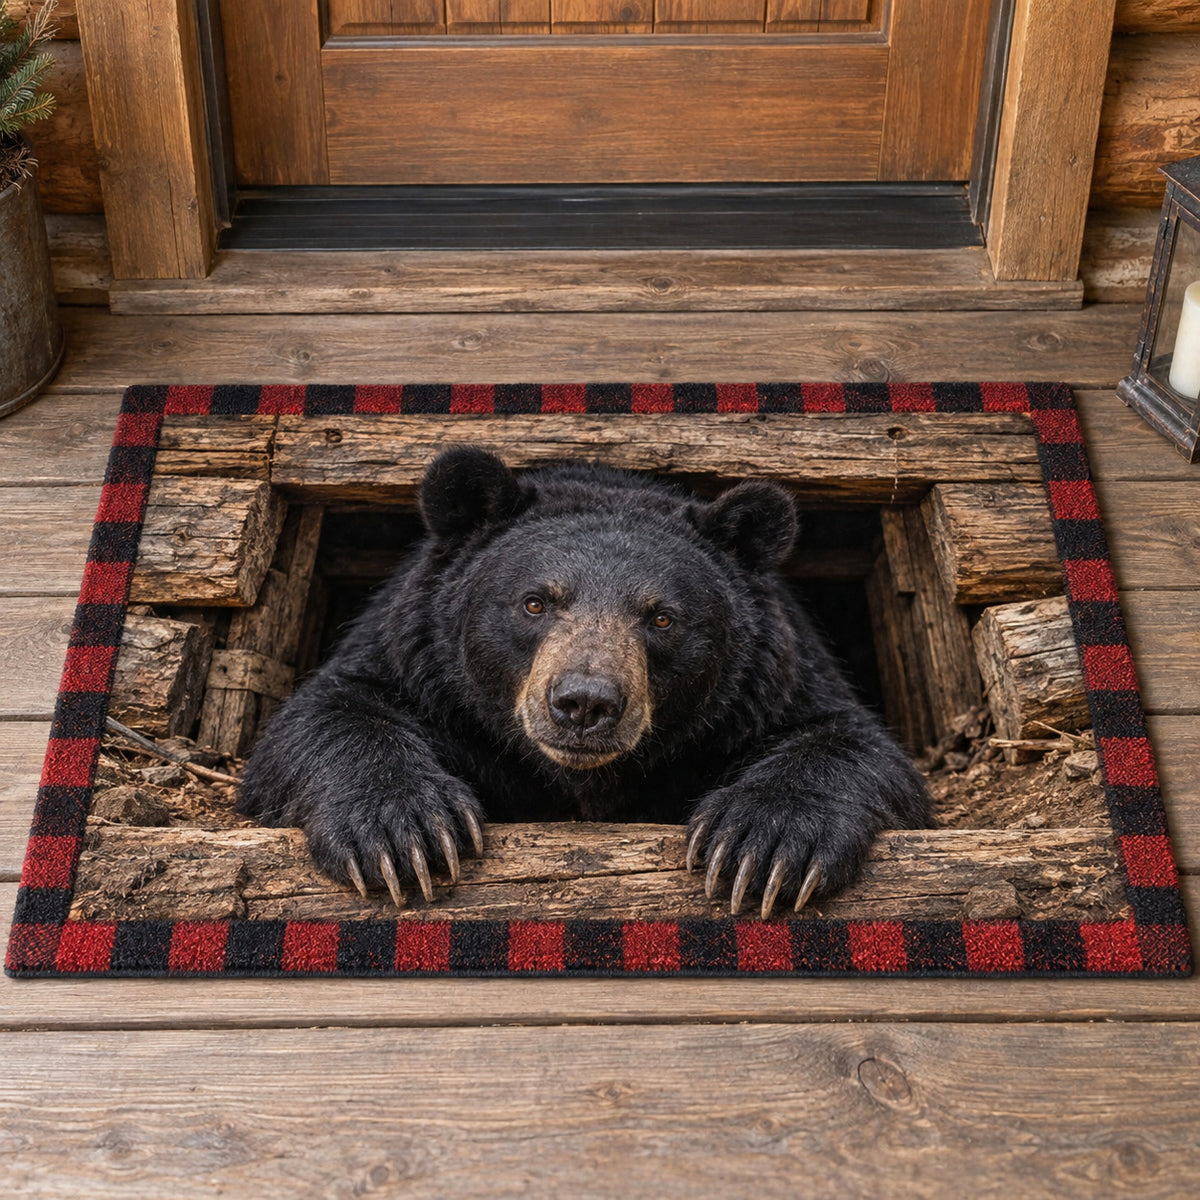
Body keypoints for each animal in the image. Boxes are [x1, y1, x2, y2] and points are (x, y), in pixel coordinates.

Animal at [237, 446, 930, 918]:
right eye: (535, 602)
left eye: (662, 617)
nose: (585, 703)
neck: (584, 781)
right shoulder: (416, 665)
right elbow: (324, 714)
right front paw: (401, 834)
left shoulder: (770, 685)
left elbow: (851, 740)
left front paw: (766, 848)